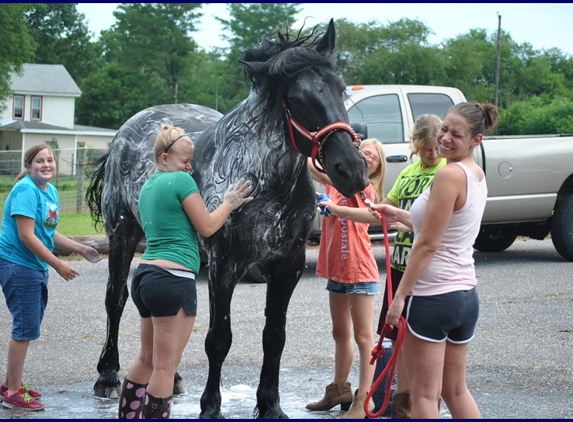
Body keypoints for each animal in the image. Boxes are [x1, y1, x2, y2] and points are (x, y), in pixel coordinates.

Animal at [87, 18, 368, 418]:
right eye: (297, 99)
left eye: (340, 89)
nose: (352, 170)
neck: (266, 184)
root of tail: (123, 134)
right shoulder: (224, 266)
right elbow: (219, 338)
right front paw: (211, 407)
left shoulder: (288, 266)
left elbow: (274, 336)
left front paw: (270, 405)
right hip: (122, 233)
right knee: (116, 297)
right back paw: (108, 376)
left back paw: (170, 378)